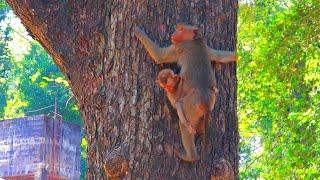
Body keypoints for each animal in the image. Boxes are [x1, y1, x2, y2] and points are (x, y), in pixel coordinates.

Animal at [134, 23, 236, 162]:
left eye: (181, 29)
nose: (174, 32)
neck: (194, 40)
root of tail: (204, 99)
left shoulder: (178, 47)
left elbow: (159, 56)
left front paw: (138, 31)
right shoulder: (206, 47)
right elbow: (220, 56)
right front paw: (237, 55)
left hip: (191, 104)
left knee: (184, 124)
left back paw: (190, 156)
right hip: (209, 103)